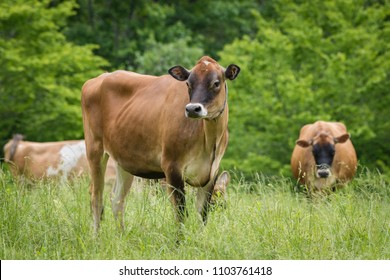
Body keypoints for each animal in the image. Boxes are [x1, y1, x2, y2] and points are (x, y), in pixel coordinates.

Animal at [81, 55, 241, 232]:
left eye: (216, 83)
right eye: (188, 83)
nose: (192, 109)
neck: (209, 142)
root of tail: (99, 78)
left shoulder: (211, 172)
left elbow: (202, 215)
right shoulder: (172, 167)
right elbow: (180, 214)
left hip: (124, 159)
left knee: (117, 200)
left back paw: (121, 236)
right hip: (94, 149)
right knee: (96, 198)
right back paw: (97, 237)